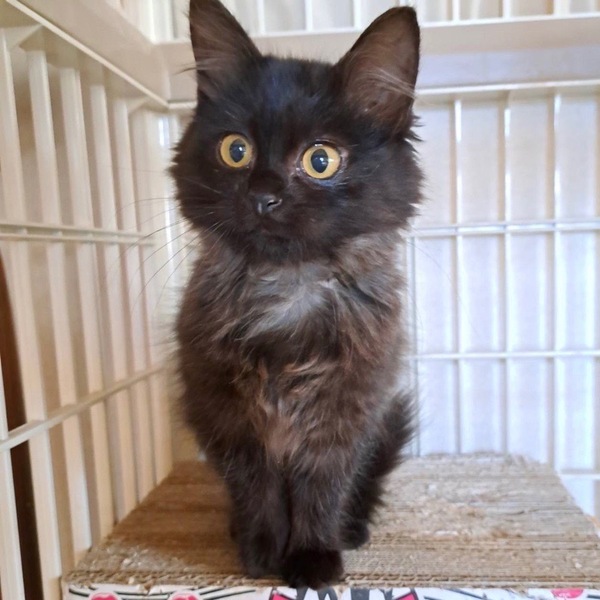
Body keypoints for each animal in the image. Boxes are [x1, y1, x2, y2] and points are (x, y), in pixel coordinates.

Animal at [171, 0, 421, 588]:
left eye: (320, 160)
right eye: (235, 150)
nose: (263, 196)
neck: (288, 287)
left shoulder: (347, 412)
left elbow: (321, 488)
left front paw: (311, 558)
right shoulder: (225, 414)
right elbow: (257, 487)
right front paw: (262, 552)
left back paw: (352, 532)